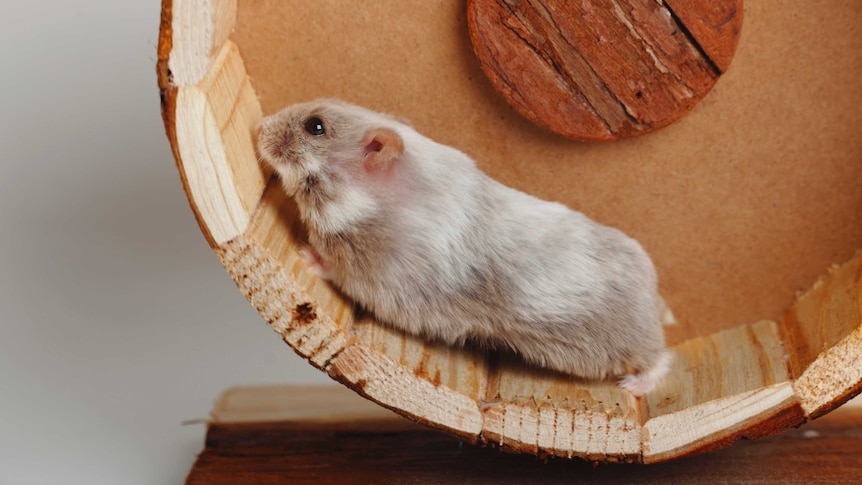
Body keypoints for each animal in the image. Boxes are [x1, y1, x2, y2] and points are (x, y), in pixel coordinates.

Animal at [256, 99, 676, 398]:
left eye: (315, 126)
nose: (257, 126)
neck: (371, 203)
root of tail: (654, 296)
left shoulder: (375, 279)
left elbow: (333, 267)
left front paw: (304, 253)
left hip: (629, 341)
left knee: (659, 358)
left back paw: (633, 387)